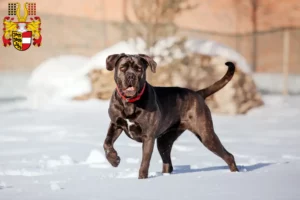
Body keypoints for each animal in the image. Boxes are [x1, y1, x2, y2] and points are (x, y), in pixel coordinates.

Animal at [103, 52, 239, 178]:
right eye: (123, 68)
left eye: (139, 69)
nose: (131, 76)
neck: (130, 102)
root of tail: (198, 94)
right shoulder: (115, 124)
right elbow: (107, 142)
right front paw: (114, 160)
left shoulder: (148, 137)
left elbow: (145, 162)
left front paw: (142, 178)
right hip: (164, 140)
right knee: (168, 163)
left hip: (206, 135)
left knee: (228, 156)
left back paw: (235, 172)